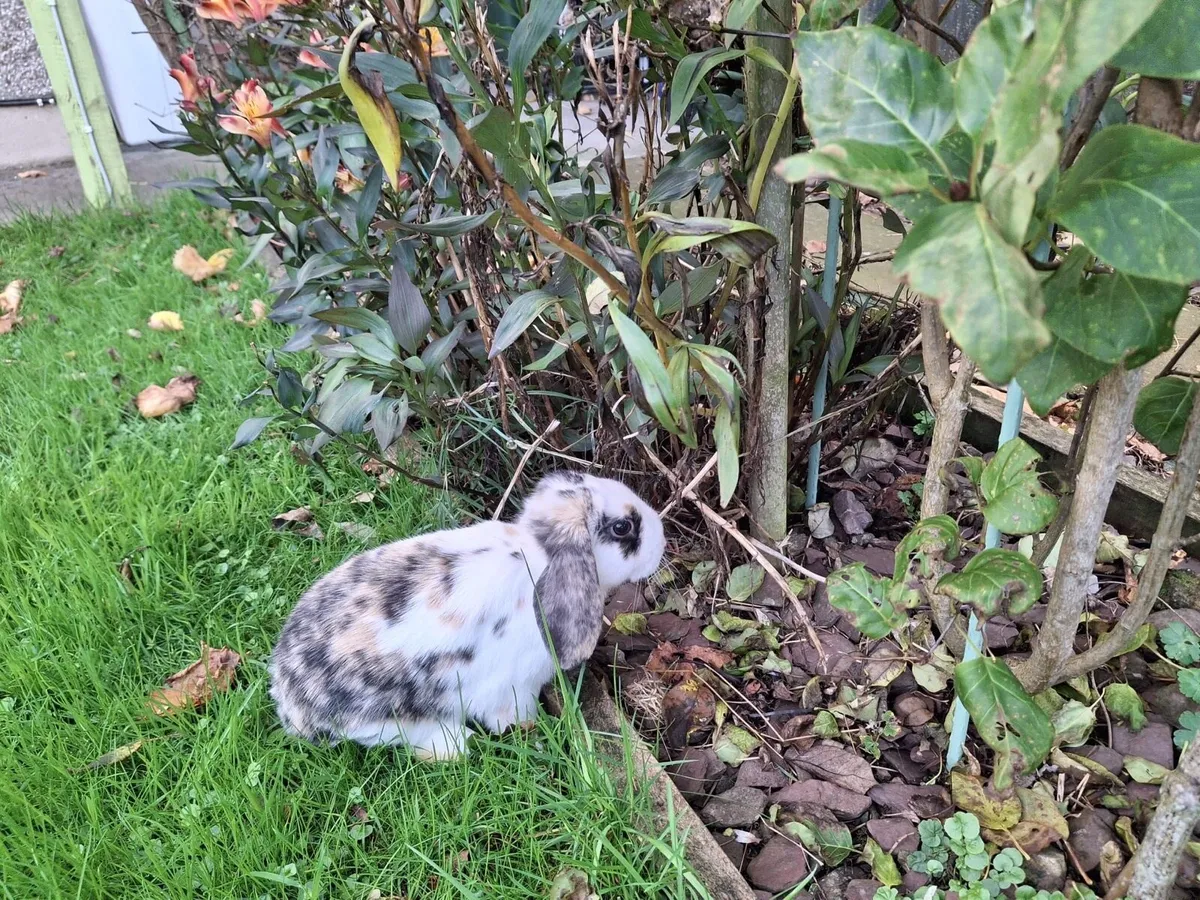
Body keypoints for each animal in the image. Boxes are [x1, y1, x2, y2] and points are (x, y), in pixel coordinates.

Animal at [268, 471, 665, 760]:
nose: (662, 538)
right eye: (622, 527)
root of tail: (290, 703)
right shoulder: (513, 688)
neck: (538, 553)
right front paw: (530, 731)